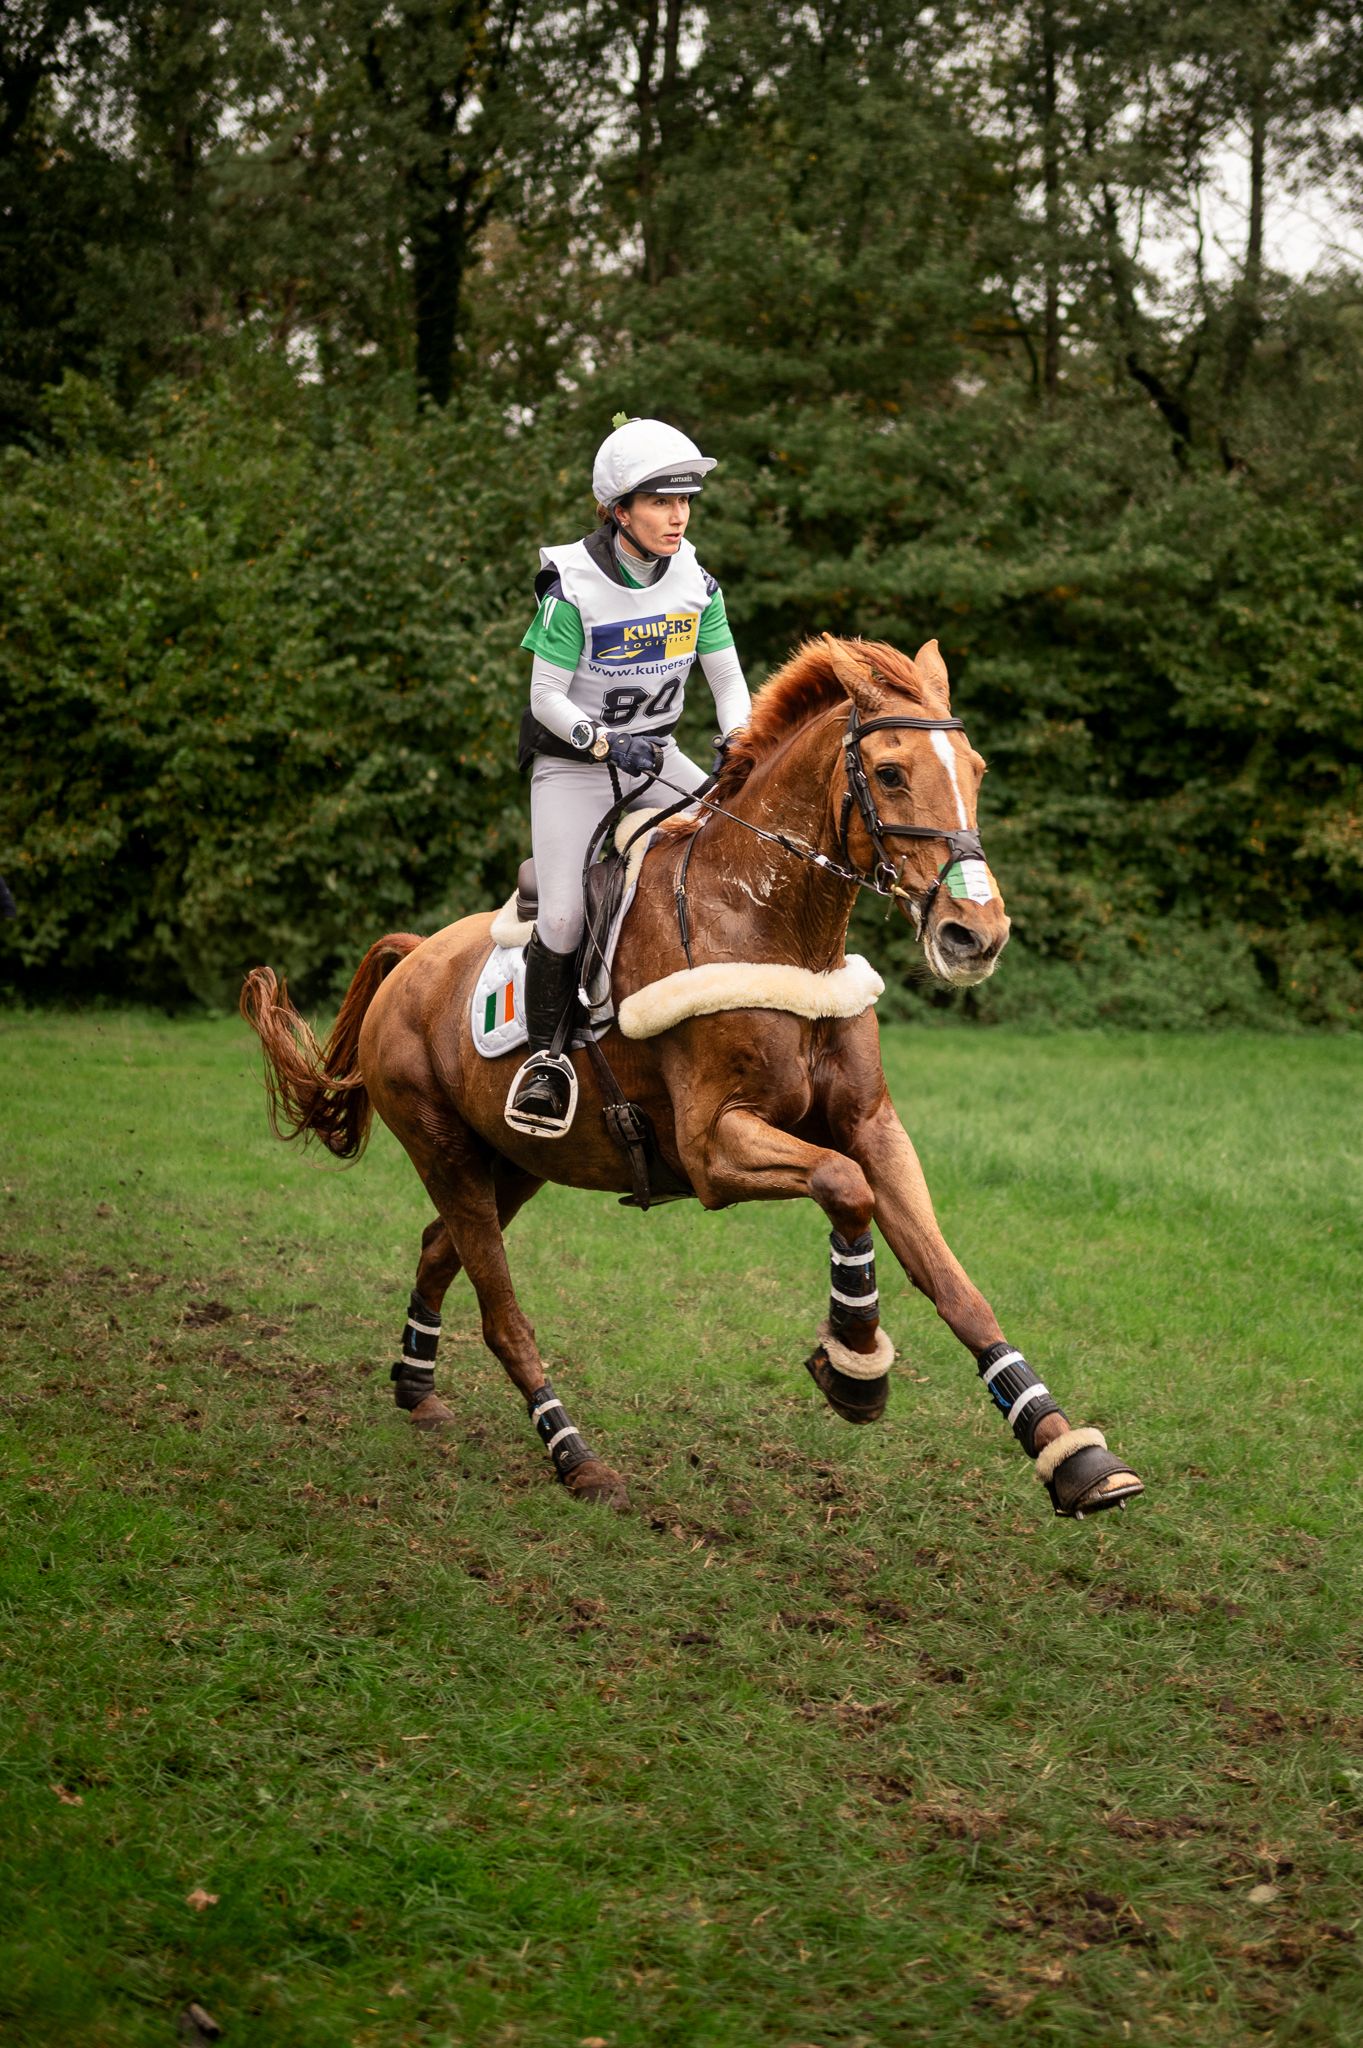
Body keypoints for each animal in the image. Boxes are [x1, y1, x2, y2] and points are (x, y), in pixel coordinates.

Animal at [240, 634, 1143, 1522]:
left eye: (976, 770)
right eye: (889, 773)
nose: (973, 936)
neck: (773, 926)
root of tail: (411, 958)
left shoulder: (873, 1126)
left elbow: (951, 1281)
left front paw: (1070, 1452)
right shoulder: (712, 1148)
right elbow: (841, 1185)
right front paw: (855, 1363)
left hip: (518, 1160)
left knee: (438, 1249)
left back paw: (416, 1384)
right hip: (445, 1149)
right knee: (500, 1312)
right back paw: (574, 1456)